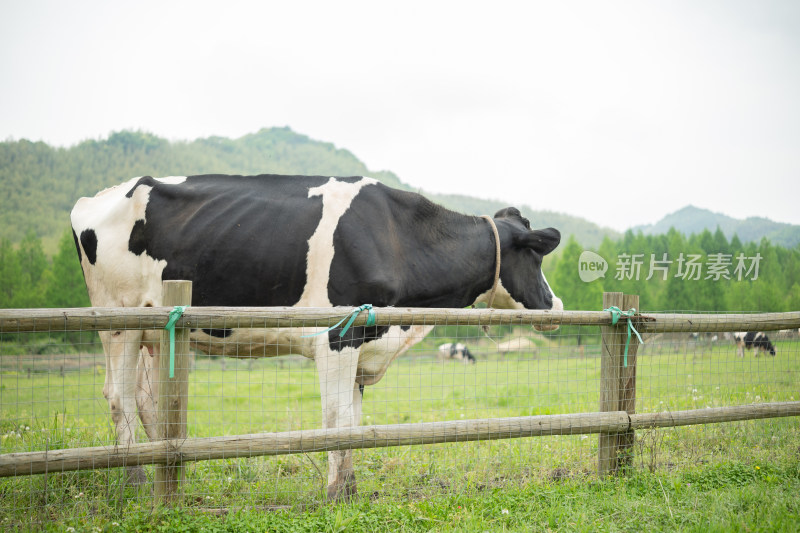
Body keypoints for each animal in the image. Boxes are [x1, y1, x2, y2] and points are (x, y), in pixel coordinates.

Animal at [73, 174, 564, 498]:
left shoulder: (364, 343)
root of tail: (95, 198)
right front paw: (334, 492)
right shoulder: (337, 336)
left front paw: (351, 487)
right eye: (536, 255)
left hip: (154, 333)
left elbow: (354, 421)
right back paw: (136, 482)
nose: (556, 305)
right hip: (119, 319)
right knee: (119, 396)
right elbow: (335, 419)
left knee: (149, 399)